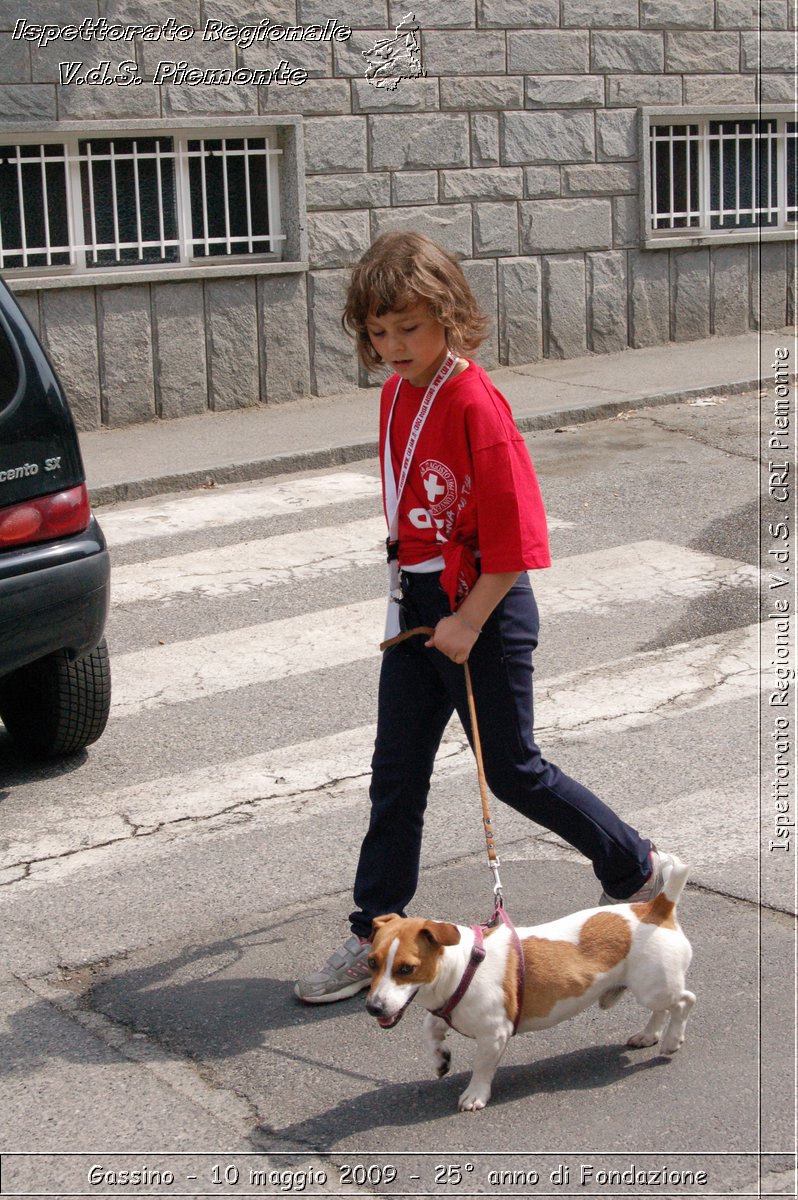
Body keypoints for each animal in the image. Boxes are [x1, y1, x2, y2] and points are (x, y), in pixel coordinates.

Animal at [364, 859, 696, 1108]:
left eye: (407, 968)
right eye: (371, 962)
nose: (372, 1008)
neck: (461, 967)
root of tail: (656, 908)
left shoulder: (494, 1034)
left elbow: (482, 1067)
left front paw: (474, 1095)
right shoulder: (445, 1012)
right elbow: (430, 1029)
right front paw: (440, 1060)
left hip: (653, 988)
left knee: (684, 1001)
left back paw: (671, 1040)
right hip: (654, 988)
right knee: (663, 1009)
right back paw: (648, 1035)